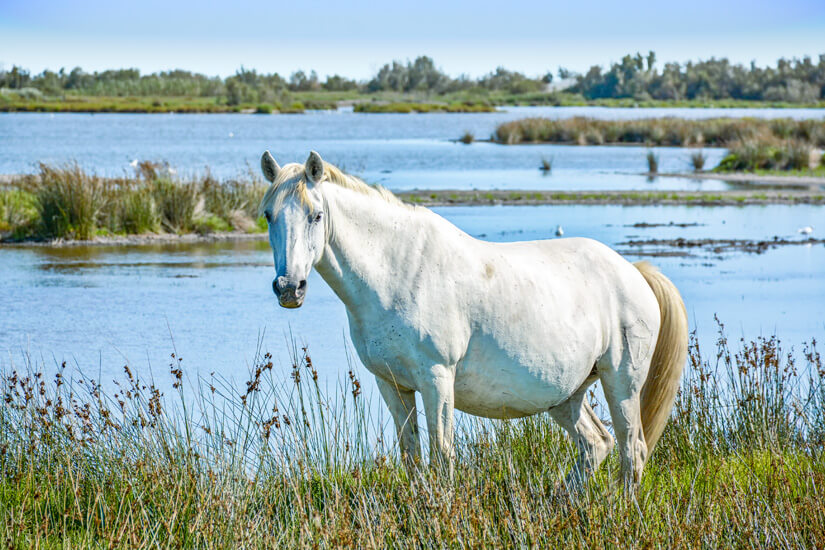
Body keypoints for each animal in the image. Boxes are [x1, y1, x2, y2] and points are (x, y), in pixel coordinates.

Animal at [260, 151, 688, 492]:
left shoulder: (437, 379)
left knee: (632, 451)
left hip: (622, 382)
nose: (289, 288)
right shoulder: (392, 384)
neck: (398, 272)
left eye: (316, 216)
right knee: (597, 445)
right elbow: (413, 458)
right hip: (567, 395)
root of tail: (632, 272)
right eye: (268, 216)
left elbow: (442, 457)